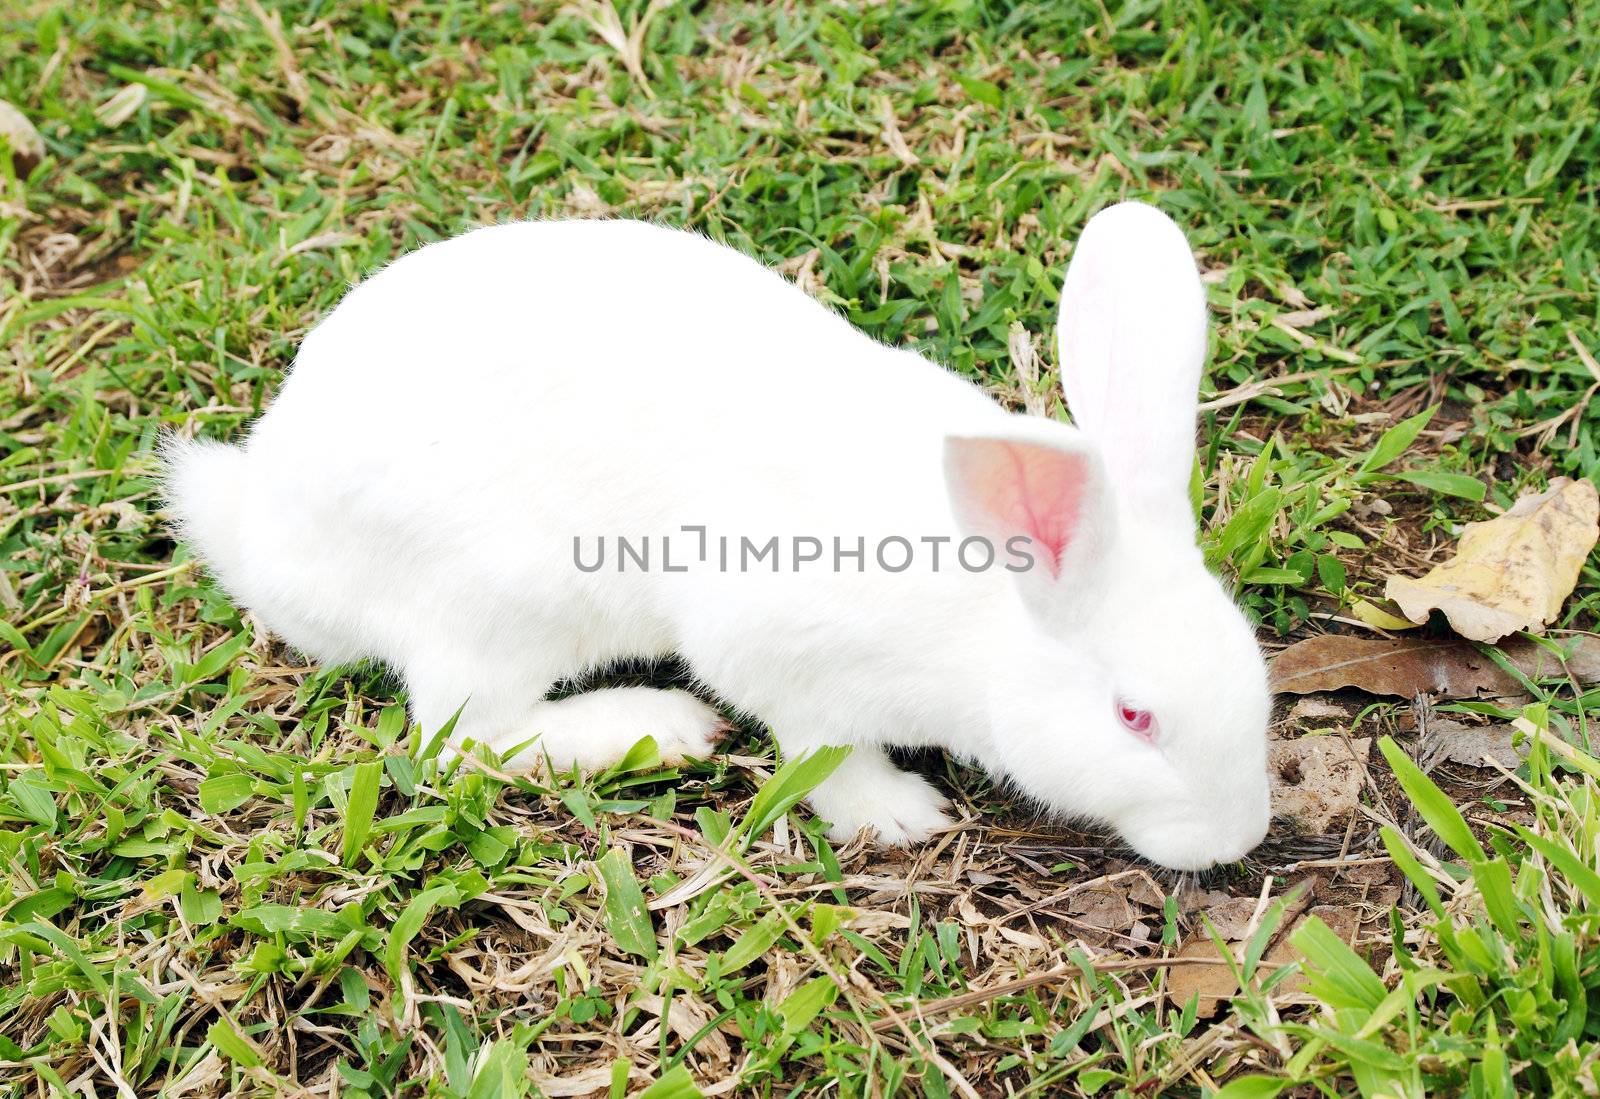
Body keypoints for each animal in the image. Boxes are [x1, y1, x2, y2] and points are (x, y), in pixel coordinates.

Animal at [165, 197, 1273, 870]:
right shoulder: (784, 657)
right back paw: (657, 727)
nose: (1236, 839)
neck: (991, 628)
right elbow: (823, 750)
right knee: (465, 733)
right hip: (500, 600)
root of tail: (269, 542)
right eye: (1135, 717)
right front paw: (899, 814)